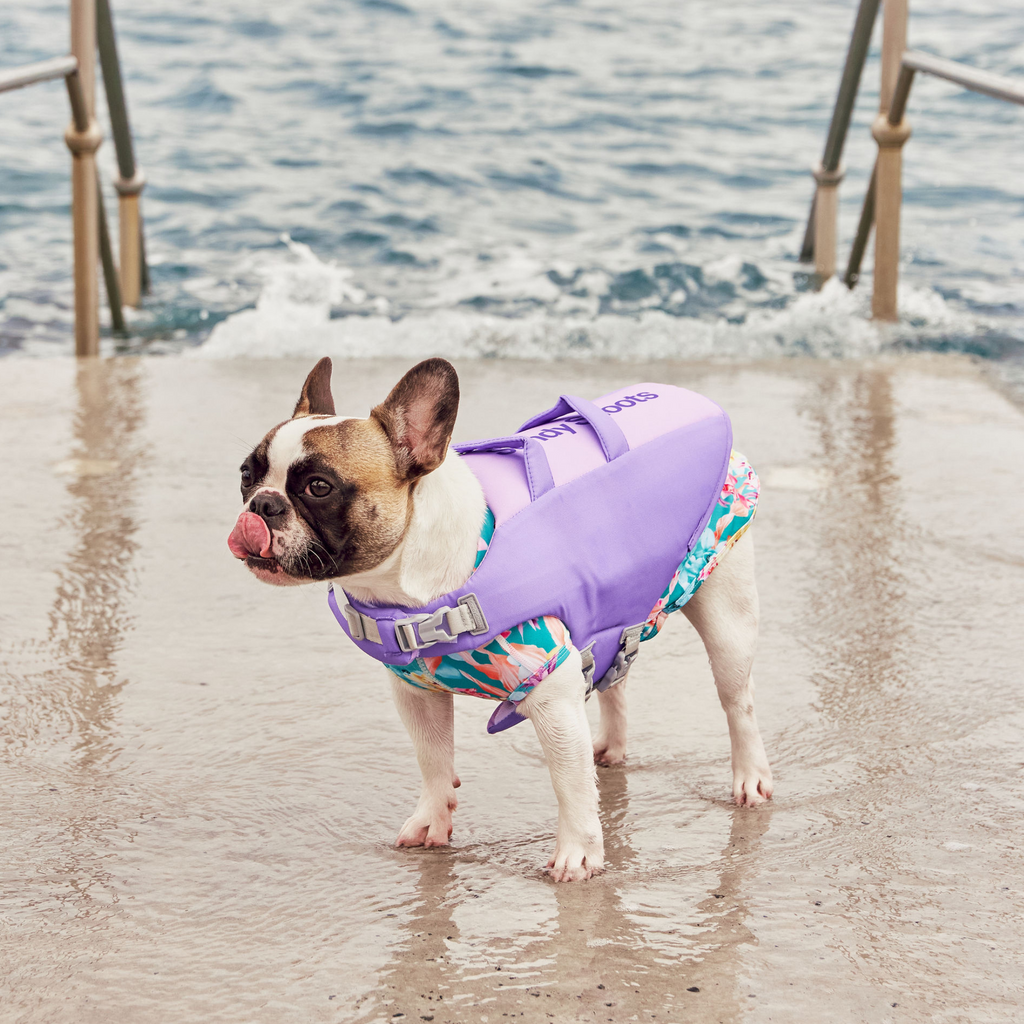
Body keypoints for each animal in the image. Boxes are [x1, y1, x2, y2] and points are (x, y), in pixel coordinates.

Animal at [228, 358, 770, 880]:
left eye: (319, 487)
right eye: (245, 475)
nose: (262, 504)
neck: (413, 584)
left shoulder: (550, 692)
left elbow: (569, 782)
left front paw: (577, 854)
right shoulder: (416, 693)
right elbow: (432, 757)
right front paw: (432, 818)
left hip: (725, 611)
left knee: (738, 703)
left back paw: (750, 779)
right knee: (616, 676)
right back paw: (612, 747)